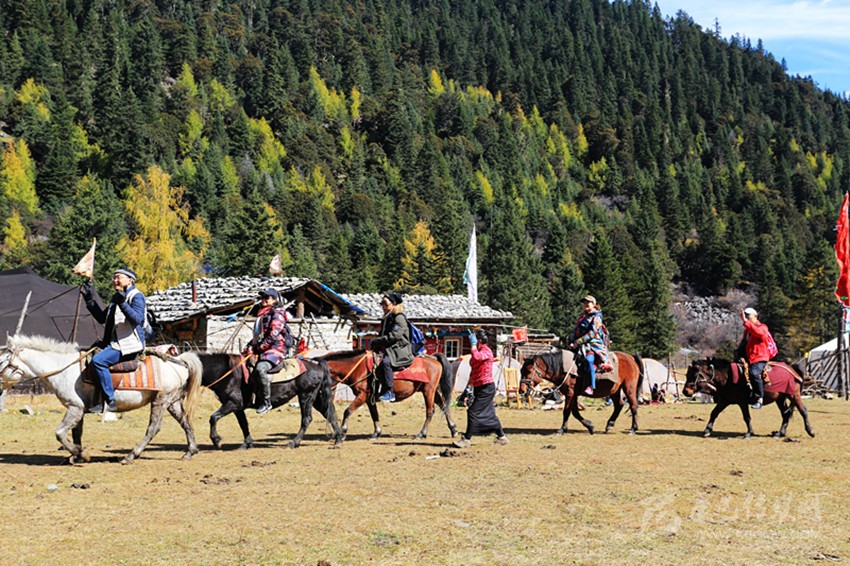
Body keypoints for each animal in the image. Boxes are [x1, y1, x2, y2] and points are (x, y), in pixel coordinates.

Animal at [0, 334, 203, 464]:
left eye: (2, 361)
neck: (64, 368)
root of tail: (180, 362)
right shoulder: (79, 410)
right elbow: (76, 433)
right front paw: (76, 455)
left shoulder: (74, 408)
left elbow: (60, 433)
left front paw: (80, 453)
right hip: (172, 402)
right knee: (185, 422)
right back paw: (190, 452)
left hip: (160, 401)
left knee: (153, 428)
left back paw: (131, 456)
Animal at [196, 352, 343, 449]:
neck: (228, 373)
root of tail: (316, 365)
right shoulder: (237, 407)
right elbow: (243, 424)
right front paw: (247, 444)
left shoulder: (233, 403)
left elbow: (213, 417)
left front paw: (216, 440)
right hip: (316, 397)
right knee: (329, 414)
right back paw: (339, 439)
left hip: (306, 396)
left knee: (307, 419)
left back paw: (294, 443)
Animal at [321, 350, 458, 439]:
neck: (360, 369)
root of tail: (433, 358)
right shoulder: (369, 398)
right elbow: (374, 414)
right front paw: (376, 433)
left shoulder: (362, 395)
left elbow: (347, 411)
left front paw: (343, 431)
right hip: (432, 391)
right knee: (444, 406)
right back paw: (453, 429)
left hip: (428, 391)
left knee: (430, 411)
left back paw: (421, 433)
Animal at [682, 358, 815, 438]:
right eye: (686, 374)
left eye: (694, 374)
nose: (685, 391)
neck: (728, 377)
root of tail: (792, 369)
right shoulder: (724, 401)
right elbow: (714, 413)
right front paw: (707, 430)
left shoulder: (742, 402)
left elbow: (746, 417)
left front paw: (749, 433)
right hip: (780, 398)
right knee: (785, 414)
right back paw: (780, 433)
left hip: (794, 395)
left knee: (803, 410)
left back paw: (810, 431)